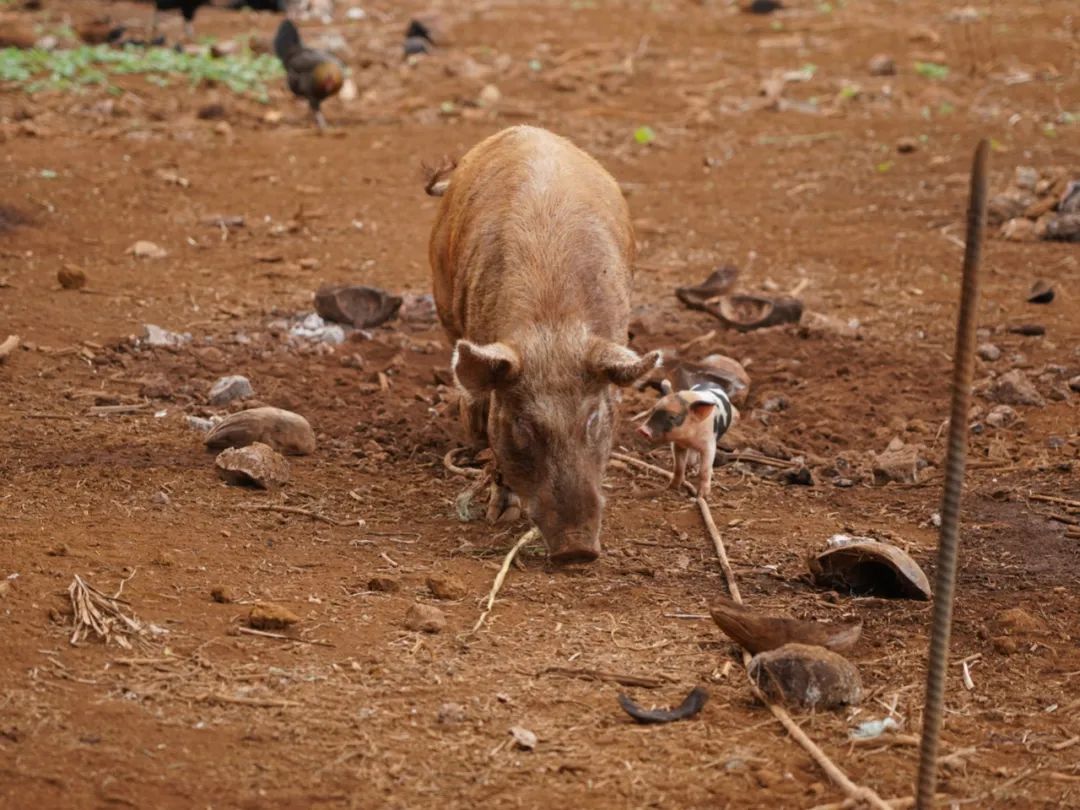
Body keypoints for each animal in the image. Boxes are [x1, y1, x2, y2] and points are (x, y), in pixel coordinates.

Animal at [427, 126, 656, 565]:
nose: (577, 550)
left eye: (593, 420)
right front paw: (500, 515)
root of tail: (523, 130)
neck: (552, 326)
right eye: (522, 425)